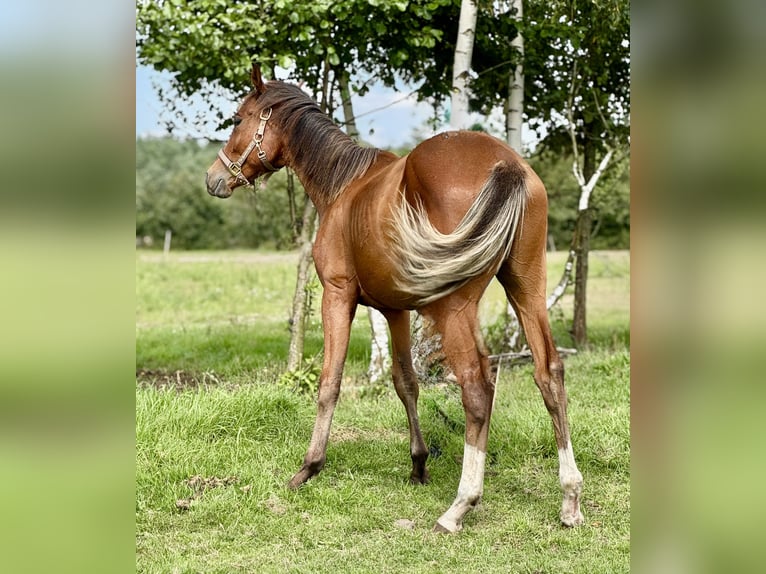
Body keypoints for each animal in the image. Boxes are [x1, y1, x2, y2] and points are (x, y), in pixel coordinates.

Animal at [205, 65, 584, 533]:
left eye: (238, 119)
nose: (213, 178)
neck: (344, 186)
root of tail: (507, 164)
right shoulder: (396, 310)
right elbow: (406, 383)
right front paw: (418, 465)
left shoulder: (338, 295)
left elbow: (329, 383)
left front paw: (309, 467)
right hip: (526, 287)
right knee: (549, 373)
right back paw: (569, 498)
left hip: (456, 308)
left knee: (477, 387)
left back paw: (460, 505)